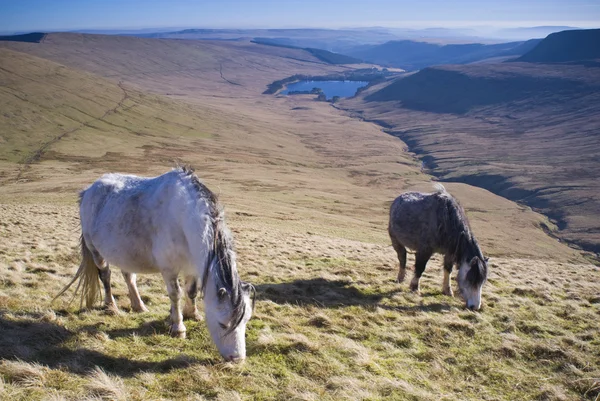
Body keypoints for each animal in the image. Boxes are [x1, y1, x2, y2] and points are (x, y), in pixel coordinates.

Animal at [55, 166, 254, 362]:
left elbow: (191, 292)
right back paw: (111, 307)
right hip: (95, 250)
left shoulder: (192, 267)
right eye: (222, 324)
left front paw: (191, 314)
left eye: (246, 320)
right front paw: (178, 327)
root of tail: (88, 191)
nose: (237, 359)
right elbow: (175, 294)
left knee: (129, 277)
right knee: (105, 276)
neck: (183, 217)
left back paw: (139, 306)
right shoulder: (169, 269)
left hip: (126, 253)